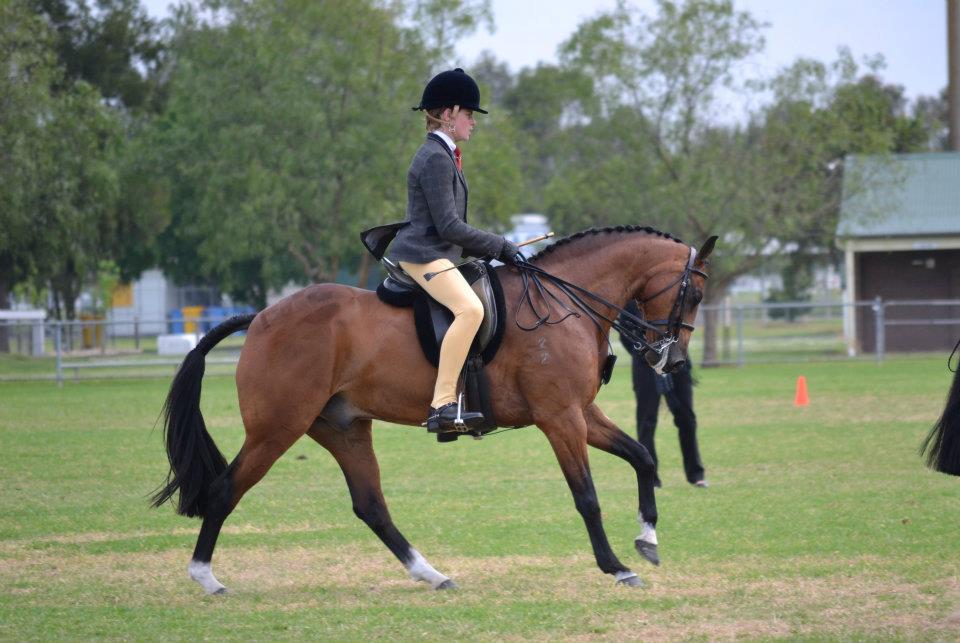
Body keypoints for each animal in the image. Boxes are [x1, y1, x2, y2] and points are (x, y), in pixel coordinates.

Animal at [152, 225, 716, 594]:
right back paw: (206, 577)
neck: (561, 305)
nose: (674, 362)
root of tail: (262, 316)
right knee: (225, 489)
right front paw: (616, 566)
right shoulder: (559, 418)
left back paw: (432, 574)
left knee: (371, 506)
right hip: (277, 429)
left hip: (343, 428)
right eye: (694, 293)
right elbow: (587, 497)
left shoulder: (580, 413)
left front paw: (647, 539)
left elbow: (642, 456)